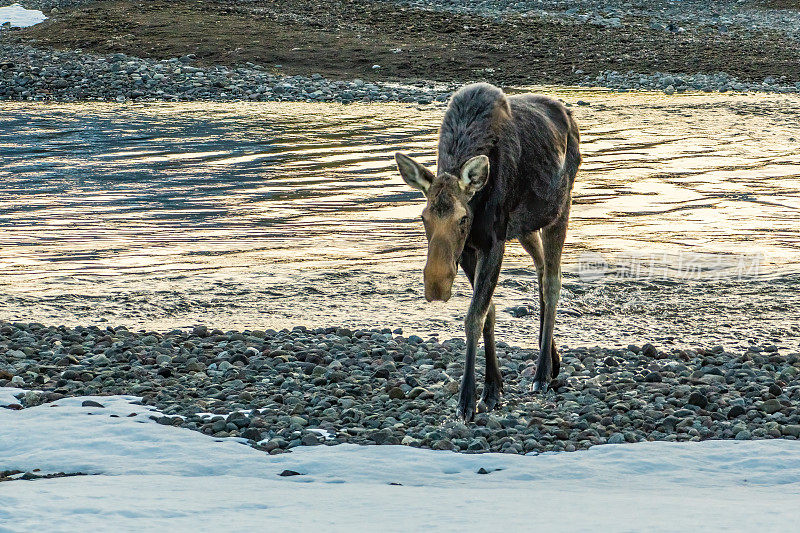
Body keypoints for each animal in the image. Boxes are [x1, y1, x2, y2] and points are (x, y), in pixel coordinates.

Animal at [396, 82, 580, 420]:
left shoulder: (493, 242)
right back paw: (553, 358)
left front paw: (467, 400)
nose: (436, 284)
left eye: (463, 218)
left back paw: (542, 373)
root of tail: (569, 115)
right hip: (525, 227)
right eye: (423, 217)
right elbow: (489, 312)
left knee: (553, 281)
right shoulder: (471, 249)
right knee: (541, 272)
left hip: (559, 210)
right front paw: (493, 388)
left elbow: (474, 316)